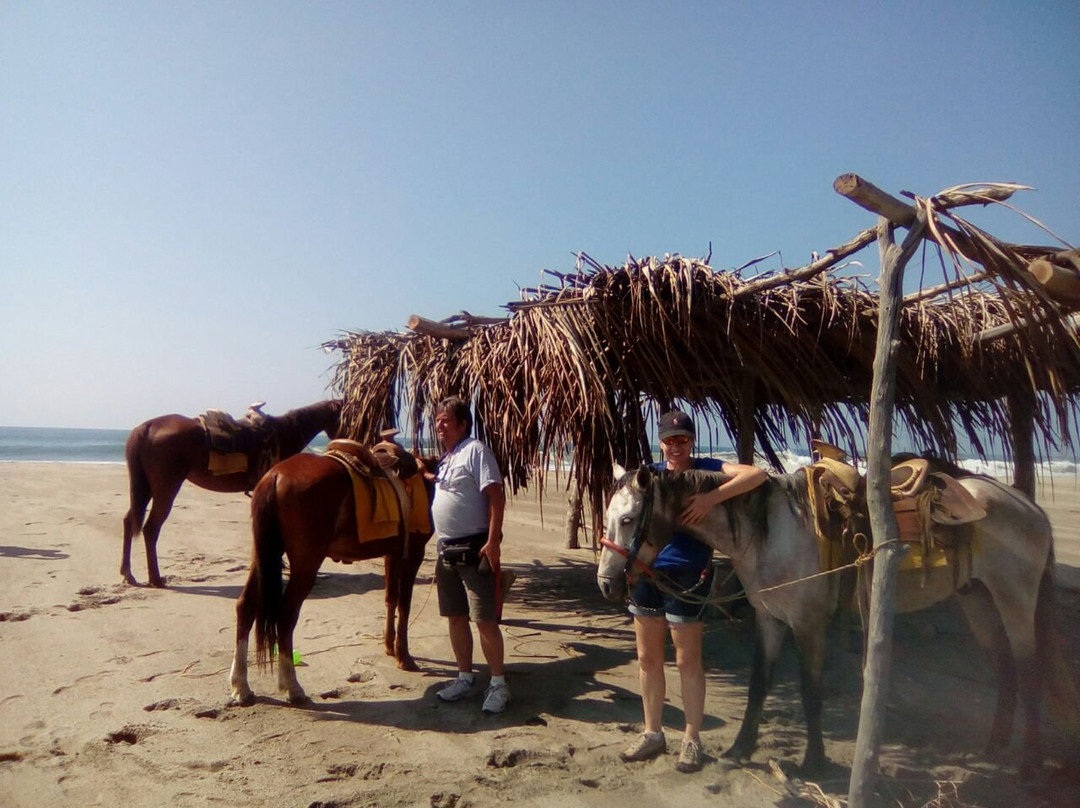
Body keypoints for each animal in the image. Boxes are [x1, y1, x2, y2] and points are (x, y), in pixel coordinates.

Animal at [118, 399, 339, 583]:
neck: (285, 434)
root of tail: (146, 427)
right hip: (166, 489)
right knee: (151, 529)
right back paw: (155, 578)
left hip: (145, 488)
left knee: (129, 521)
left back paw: (128, 573)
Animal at [225, 445, 432, 704]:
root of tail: (275, 476)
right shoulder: (413, 553)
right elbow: (404, 604)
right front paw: (404, 657)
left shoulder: (392, 554)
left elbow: (391, 599)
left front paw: (390, 646)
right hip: (306, 564)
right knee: (285, 615)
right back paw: (291, 686)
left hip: (263, 556)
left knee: (245, 606)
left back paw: (241, 685)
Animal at [600, 464, 1062, 777]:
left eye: (628, 520)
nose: (607, 583)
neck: (771, 532)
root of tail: (1029, 506)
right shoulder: (770, 620)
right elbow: (758, 685)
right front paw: (739, 749)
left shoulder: (808, 624)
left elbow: (811, 690)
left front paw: (814, 760)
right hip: (977, 600)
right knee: (1004, 666)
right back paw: (994, 748)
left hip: (1015, 600)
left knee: (1030, 669)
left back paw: (1030, 762)